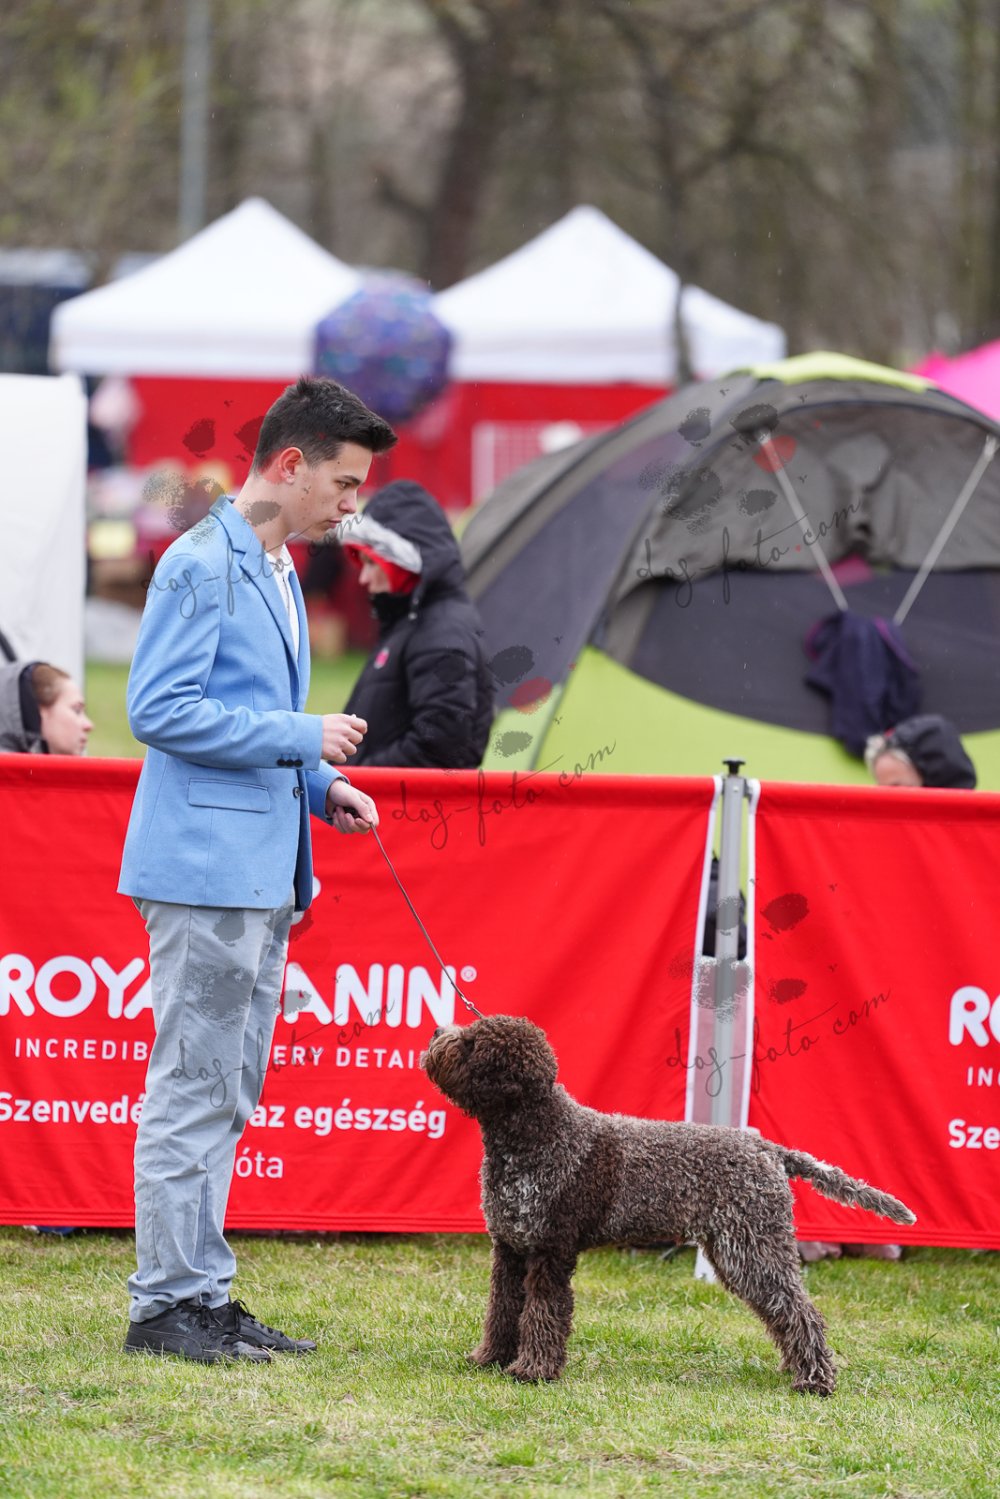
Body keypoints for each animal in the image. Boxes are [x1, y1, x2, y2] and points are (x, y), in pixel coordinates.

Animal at [422, 1014, 916, 1394]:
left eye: (471, 1044)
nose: (436, 1032)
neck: (536, 1134)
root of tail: (767, 1148)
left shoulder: (549, 1251)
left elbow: (543, 1313)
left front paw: (533, 1370)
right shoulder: (510, 1249)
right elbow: (503, 1309)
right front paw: (489, 1358)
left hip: (753, 1247)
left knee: (800, 1310)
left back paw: (815, 1380)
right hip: (738, 1249)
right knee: (782, 1311)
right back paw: (799, 1369)